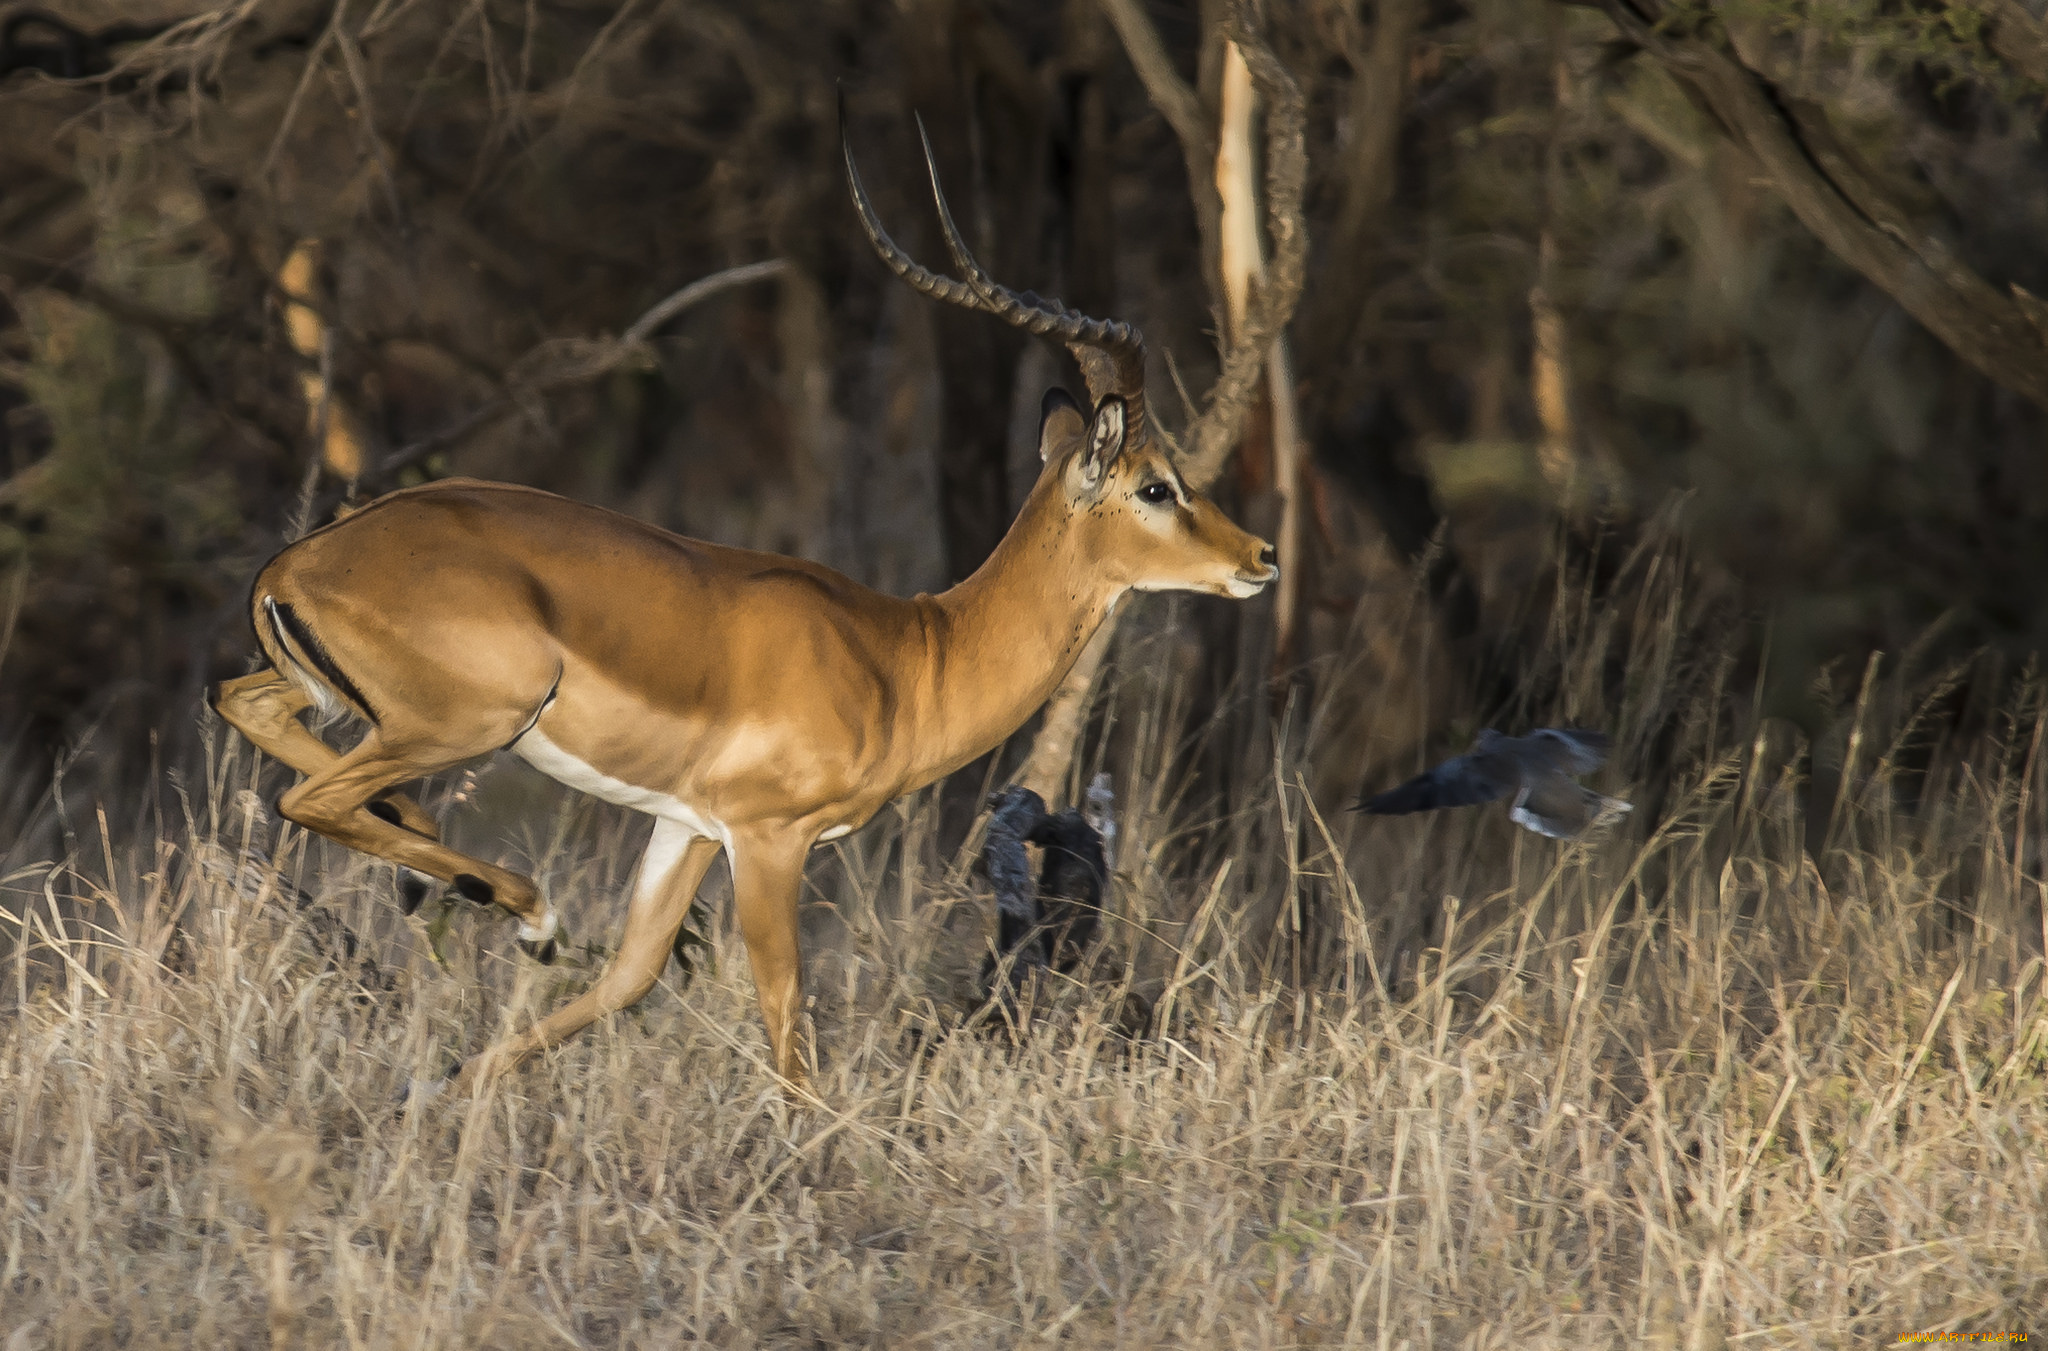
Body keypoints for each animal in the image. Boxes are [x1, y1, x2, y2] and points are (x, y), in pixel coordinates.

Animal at [203, 132, 1261, 1088]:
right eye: (1158, 486)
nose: (1260, 556)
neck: (909, 655)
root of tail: (298, 560)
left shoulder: (688, 829)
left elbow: (625, 979)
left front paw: (447, 1091)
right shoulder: (768, 839)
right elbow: (788, 1021)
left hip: (354, 703)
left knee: (249, 710)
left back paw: (445, 883)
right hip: (474, 717)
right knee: (311, 798)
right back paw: (522, 911)